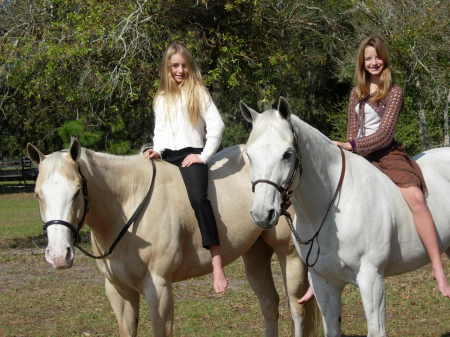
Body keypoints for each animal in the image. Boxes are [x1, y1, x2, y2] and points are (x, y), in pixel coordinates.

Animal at [26, 138, 320, 336]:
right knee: (269, 304)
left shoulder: (159, 287)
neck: (128, 204)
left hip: (291, 256)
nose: (58, 255)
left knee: (298, 310)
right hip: (255, 253)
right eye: (38, 194)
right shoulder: (118, 291)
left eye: (77, 191)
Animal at [239, 97, 450, 336]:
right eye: (249, 155)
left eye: (287, 154)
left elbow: (376, 330)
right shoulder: (323, 282)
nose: (262, 214)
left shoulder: (371, 279)